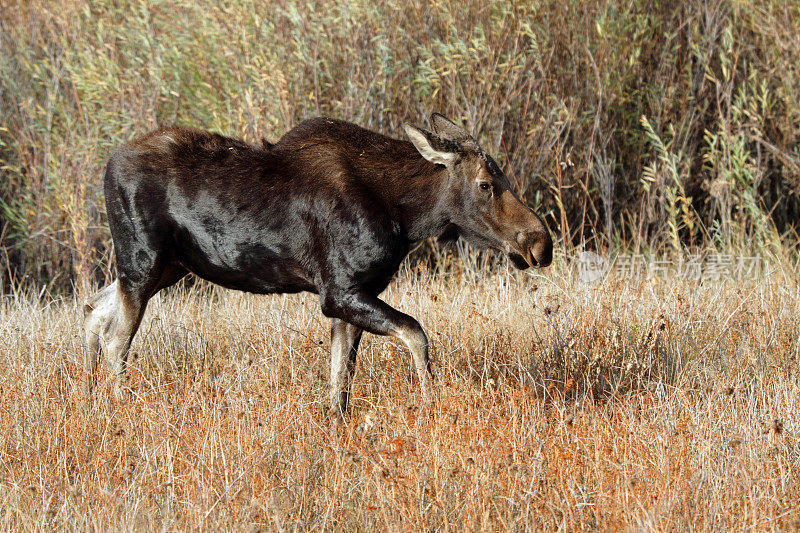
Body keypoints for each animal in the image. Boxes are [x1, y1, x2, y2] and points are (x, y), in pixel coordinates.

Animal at [86, 114, 552, 418]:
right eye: (486, 185)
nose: (540, 243)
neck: (405, 214)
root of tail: (107, 164)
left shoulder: (354, 295)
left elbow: (340, 382)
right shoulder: (339, 292)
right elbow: (416, 335)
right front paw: (430, 404)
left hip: (168, 267)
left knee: (93, 310)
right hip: (143, 261)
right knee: (115, 337)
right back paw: (120, 406)